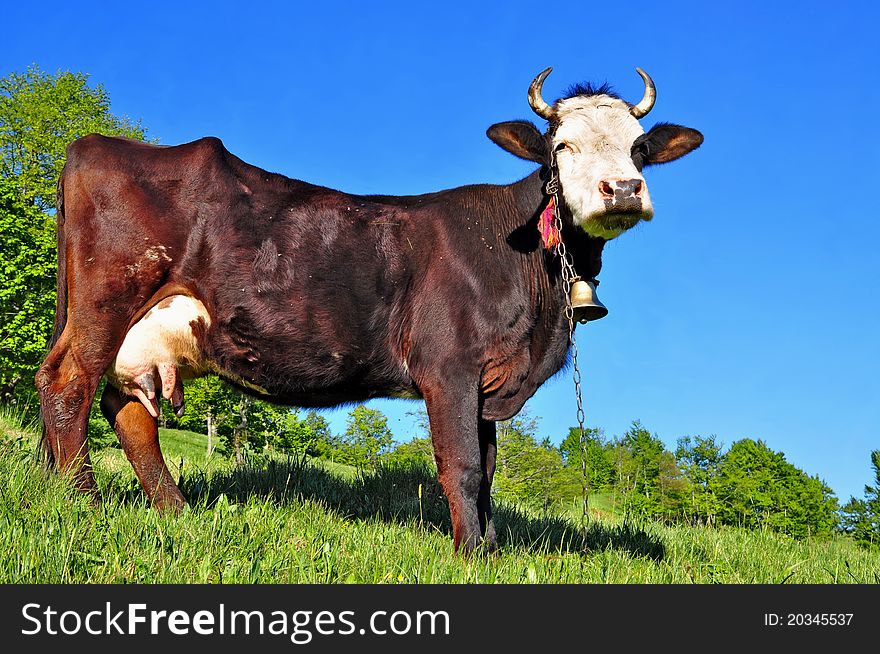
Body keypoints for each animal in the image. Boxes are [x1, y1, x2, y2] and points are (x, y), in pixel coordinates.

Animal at [37, 68, 704, 552]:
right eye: (560, 147)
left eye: (639, 148)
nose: (623, 190)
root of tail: (93, 146)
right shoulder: (448, 367)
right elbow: (463, 464)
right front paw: (470, 555)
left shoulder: (487, 381)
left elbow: (490, 470)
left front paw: (493, 549)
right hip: (106, 301)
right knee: (68, 383)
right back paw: (80, 503)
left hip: (147, 330)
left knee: (127, 408)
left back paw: (175, 512)